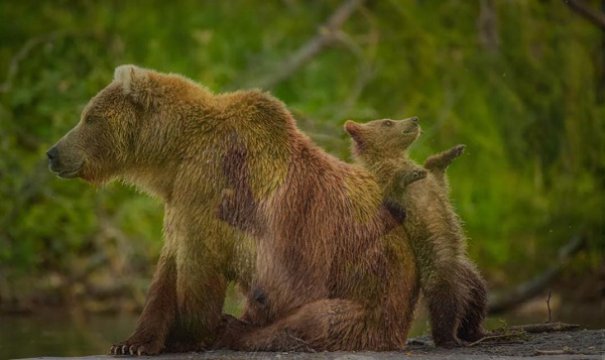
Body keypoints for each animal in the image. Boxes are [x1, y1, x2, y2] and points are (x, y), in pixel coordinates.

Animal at [47, 64, 418, 354]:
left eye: (88, 118)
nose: (53, 153)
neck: (175, 153)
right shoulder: (182, 196)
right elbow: (168, 266)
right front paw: (133, 342)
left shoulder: (210, 186)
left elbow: (198, 264)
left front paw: (187, 335)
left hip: (366, 290)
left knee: (314, 318)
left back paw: (235, 329)